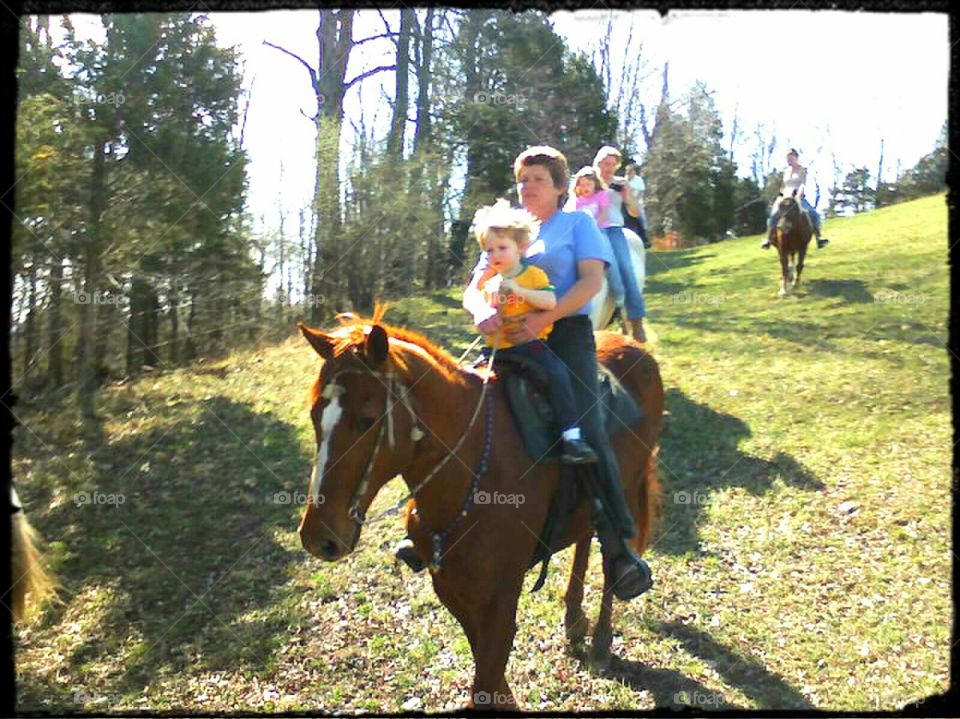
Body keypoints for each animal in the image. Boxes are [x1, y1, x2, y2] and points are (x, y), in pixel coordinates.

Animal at [296, 312, 664, 712]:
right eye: (315, 414)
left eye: (367, 420)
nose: (319, 537)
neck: (472, 465)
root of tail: (638, 350)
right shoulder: (451, 585)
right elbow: (486, 671)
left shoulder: (502, 593)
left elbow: (486, 676)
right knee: (585, 537)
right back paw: (574, 618)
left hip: (626, 484)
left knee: (612, 552)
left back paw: (601, 639)